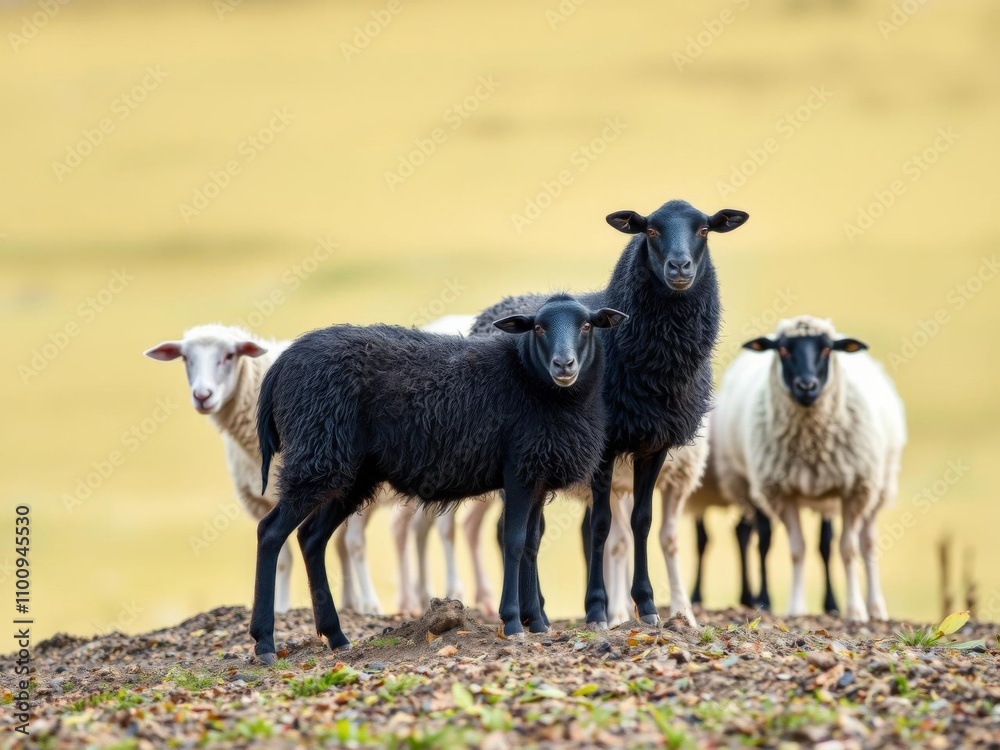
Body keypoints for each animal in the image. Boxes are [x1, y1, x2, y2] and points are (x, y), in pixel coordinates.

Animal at [250, 296, 627, 660]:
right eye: (538, 327)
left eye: (587, 325)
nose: (564, 365)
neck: (533, 383)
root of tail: (282, 364)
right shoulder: (519, 471)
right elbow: (515, 541)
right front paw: (513, 622)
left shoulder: (537, 476)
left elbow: (531, 544)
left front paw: (536, 623)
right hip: (318, 454)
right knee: (271, 531)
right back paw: (265, 643)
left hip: (349, 473)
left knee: (311, 538)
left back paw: (336, 637)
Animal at [472, 200, 749, 627]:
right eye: (650, 231)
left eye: (704, 230)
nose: (680, 267)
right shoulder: (604, 447)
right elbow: (600, 527)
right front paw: (598, 609)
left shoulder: (655, 446)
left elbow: (642, 522)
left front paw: (647, 607)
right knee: (512, 529)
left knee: (531, 530)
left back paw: (539, 616)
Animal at [714, 315, 906, 622]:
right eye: (783, 349)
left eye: (827, 349)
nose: (806, 386)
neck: (811, 442)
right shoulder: (781, 493)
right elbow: (797, 550)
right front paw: (796, 608)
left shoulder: (854, 490)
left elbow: (848, 549)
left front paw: (855, 610)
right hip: (750, 485)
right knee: (762, 537)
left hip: (877, 487)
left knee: (866, 543)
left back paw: (875, 607)